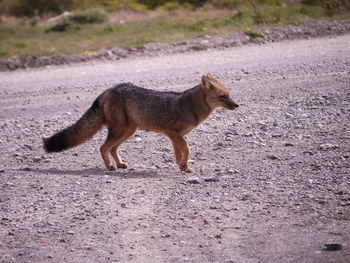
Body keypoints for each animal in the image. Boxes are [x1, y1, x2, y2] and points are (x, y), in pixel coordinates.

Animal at [43, 73, 238, 173]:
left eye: (229, 94)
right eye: (223, 96)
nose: (237, 105)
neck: (191, 105)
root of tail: (108, 89)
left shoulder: (176, 136)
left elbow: (179, 153)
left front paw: (182, 166)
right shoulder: (172, 132)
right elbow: (187, 149)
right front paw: (184, 165)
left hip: (129, 131)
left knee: (112, 148)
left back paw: (120, 164)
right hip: (121, 130)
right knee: (103, 147)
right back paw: (110, 167)